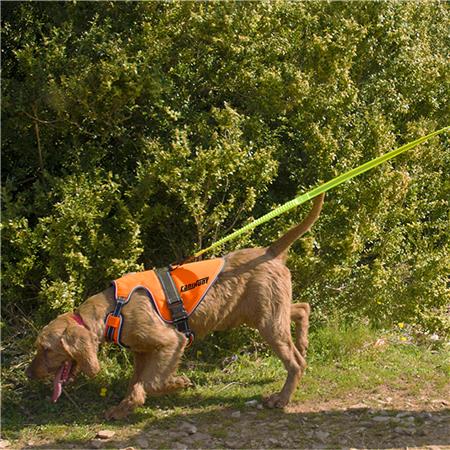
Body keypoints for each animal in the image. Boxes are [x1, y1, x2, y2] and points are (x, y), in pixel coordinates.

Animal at [26, 192, 324, 418]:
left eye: (46, 349)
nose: (29, 374)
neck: (112, 311)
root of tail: (270, 252)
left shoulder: (171, 341)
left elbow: (152, 381)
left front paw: (178, 383)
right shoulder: (142, 351)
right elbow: (136, 384)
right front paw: (122, 409)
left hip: (267, 321)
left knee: (295, 362)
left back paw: (282, 398)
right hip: (263, 312)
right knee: (302, 308)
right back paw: (303, 341)